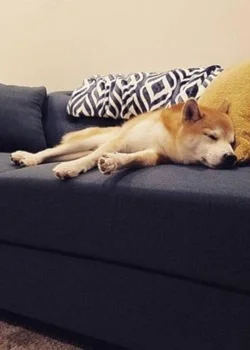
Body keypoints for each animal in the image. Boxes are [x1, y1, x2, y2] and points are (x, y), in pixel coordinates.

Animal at [10, 99, 236, 179]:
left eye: (232, 142)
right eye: (212, 136)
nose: (231, 157)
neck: (166, 137)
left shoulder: (154, 155)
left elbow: (132, 158)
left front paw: (113, 161)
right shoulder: (119, 142)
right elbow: (92, 158)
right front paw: (72, 169)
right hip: (89, 141)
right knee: (52, 151)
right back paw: (28, 157)